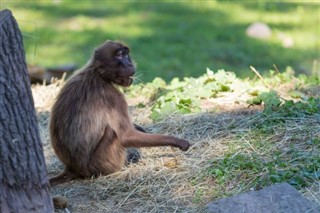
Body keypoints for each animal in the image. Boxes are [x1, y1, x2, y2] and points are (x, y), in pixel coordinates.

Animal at [50, 40, 190, 186]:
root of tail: (72, 168)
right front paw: (177, 141)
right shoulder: (114, 97)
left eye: (126, 54)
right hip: (100, 164)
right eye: (119, 55)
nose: (130, 64)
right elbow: (126, 136)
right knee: (112, 133)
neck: (98, 74)